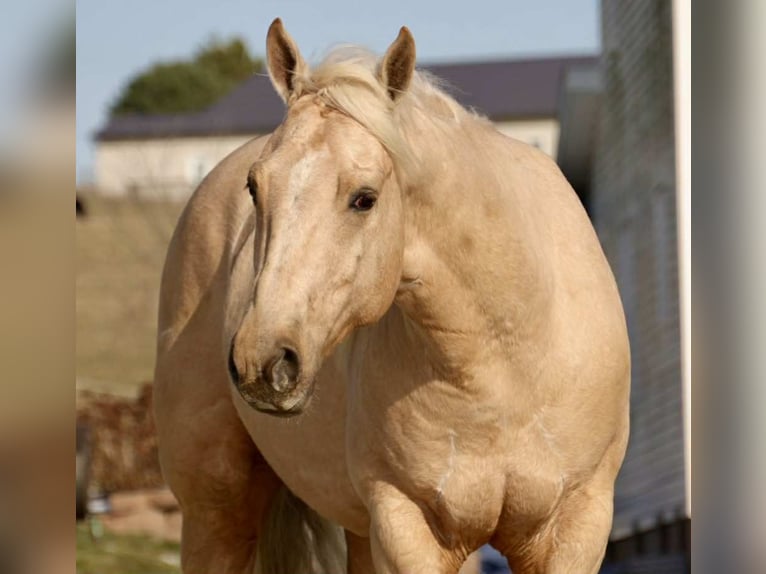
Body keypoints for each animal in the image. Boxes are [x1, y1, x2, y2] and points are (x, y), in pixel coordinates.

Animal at [153, 18, 630, 574]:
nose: (262, 362)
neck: (507, 361)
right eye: (255, 187)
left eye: (365, 198)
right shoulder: (406, 526)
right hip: (215, 512)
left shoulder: (574, 528)